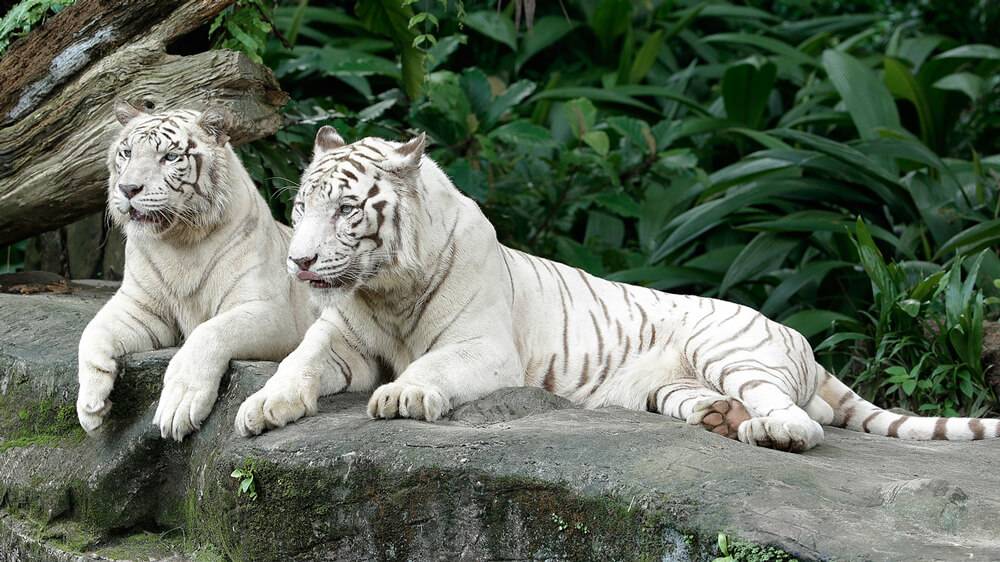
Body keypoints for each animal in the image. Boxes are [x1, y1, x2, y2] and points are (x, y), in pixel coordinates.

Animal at [76, 100, 314, 441]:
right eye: (127, 153)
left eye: (170, 157)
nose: (128, 188)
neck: (178, 242)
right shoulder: (140, 307)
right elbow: (92, 332)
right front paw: (91, 404)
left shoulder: (272, 312)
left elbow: (209, 331)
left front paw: (179, 406)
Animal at [233, 126, 1000, 452]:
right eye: (299, 206)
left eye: (346, 210)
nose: (299, 262)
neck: (384, 289)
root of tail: (801, 340)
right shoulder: (341, 337)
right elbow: (299, 362)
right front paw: (262, 407)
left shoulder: (483, 348)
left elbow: (432, 366)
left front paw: (402, 395)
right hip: (672, 386)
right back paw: (723, 420)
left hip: (734, 348)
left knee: (802, 419)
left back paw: (770, 432)